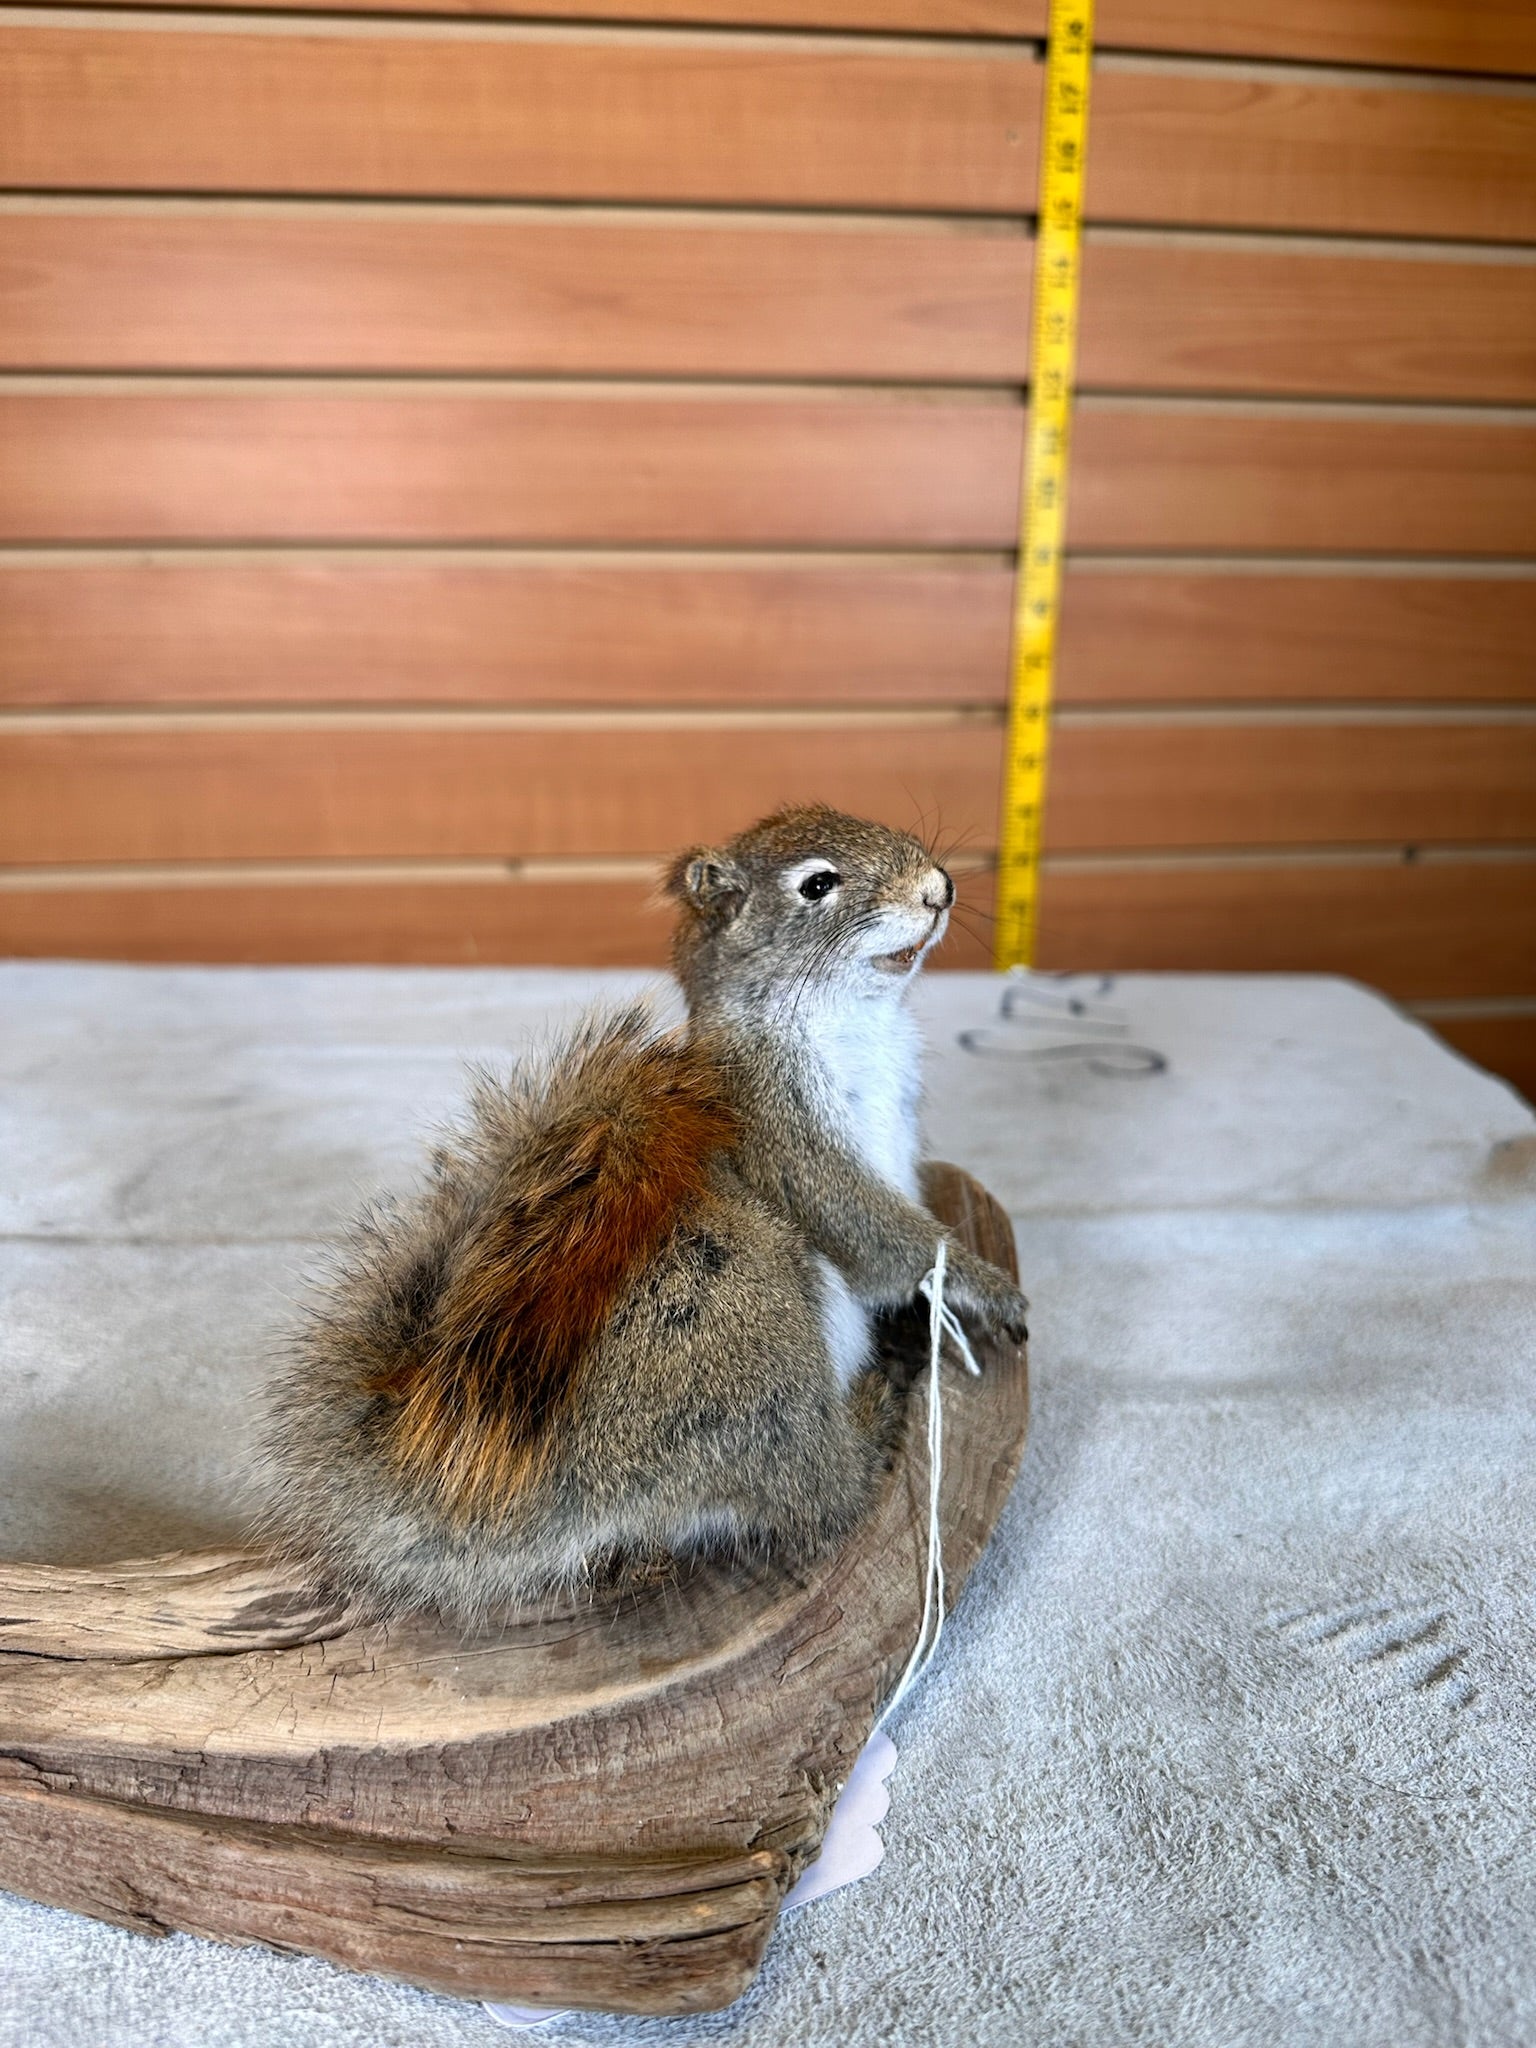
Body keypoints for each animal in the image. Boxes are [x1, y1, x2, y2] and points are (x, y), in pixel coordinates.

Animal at [261, 806, 1029, 1623]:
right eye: (817, 885)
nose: (938, 888)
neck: (852, 1020)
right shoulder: (783, 1137)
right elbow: (879, 1238)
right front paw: (985, 1287)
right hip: (744, 1317)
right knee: (818, 1494)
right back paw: (871, 1415)